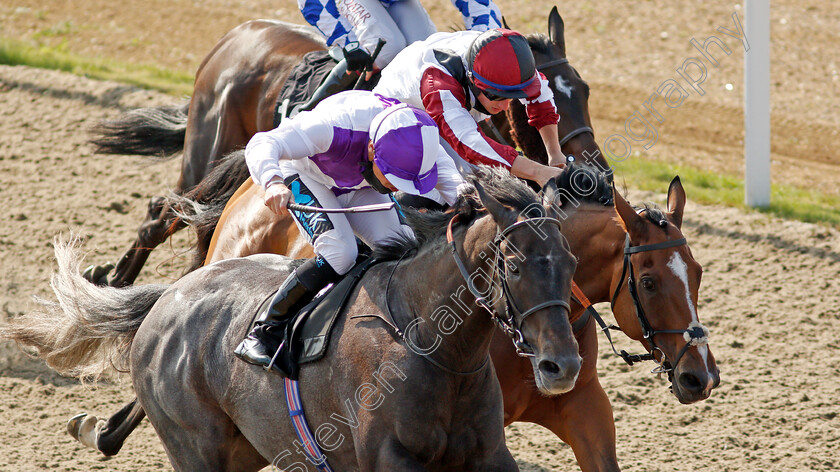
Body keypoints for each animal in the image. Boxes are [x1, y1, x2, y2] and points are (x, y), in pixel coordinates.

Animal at [85, 6, 600, 288]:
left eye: (584, 90)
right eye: (518, 110)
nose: (590, 171)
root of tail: (233, 36)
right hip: (206, 153)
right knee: (163, 212)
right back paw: (113, 280)